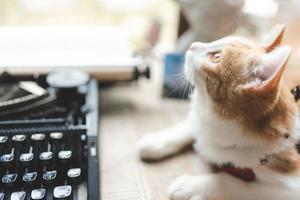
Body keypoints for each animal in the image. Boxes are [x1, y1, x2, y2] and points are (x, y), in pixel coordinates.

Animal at [137, 25, 300, 200]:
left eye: (216, 57)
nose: (192, 45)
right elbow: (190, 126)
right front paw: (157, 141)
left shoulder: (289, 189)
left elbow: (229, 181)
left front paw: (189, 185)